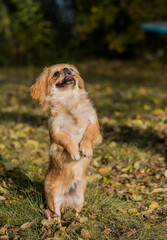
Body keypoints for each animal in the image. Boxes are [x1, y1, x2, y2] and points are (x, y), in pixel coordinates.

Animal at [30, 63, 102, 225]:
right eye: (56, 74)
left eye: (72, 69)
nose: (66, 70)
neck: (69, 99)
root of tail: (66, 200)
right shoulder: (55, 131)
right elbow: (66, 140)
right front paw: (75, 152)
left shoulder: (93, 122)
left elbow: (88, 135)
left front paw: (85, 149)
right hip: (53, 198)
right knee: (56, 215)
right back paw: (57, 226)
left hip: (79, 197)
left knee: (75, 212)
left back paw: (77, 222)